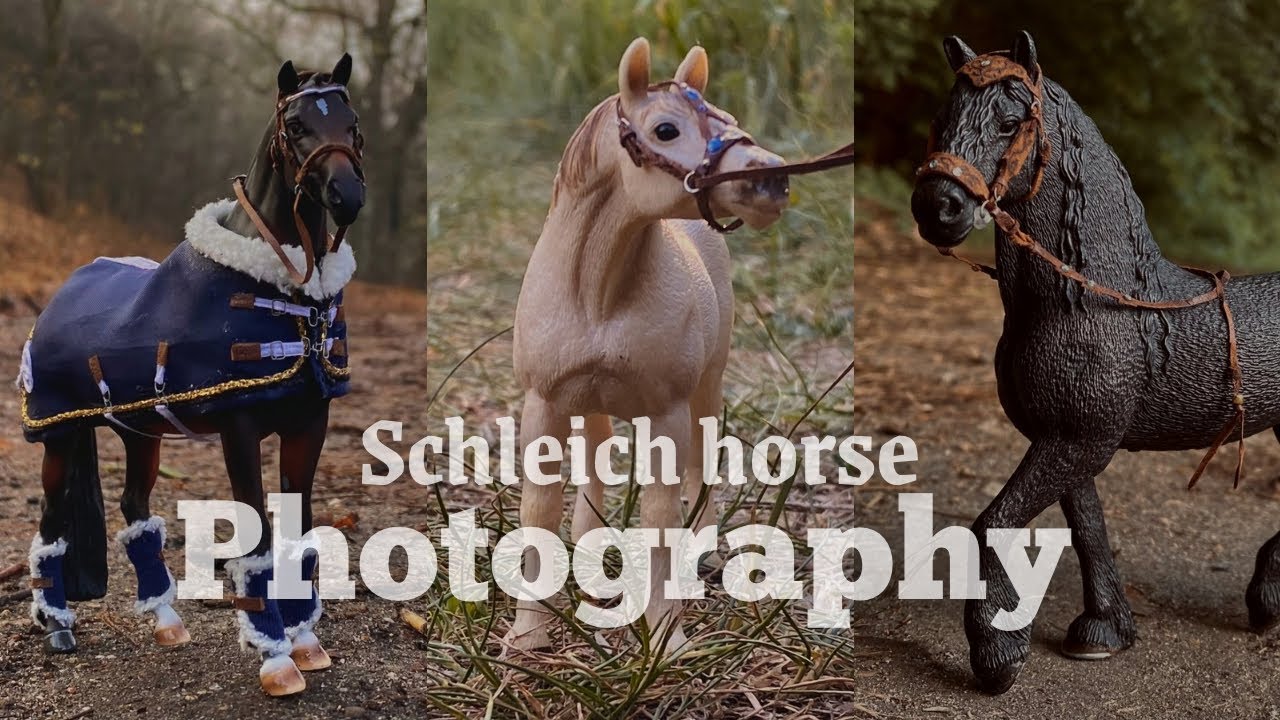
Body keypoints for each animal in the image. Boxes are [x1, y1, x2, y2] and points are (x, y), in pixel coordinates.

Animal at [18, 54, 366, 697]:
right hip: (59, 434)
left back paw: (165, 619)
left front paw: (306, 641)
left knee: (134, 508)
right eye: (297, 126)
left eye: (351, 123)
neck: (286, 293)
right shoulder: (239, 427)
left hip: (140, 433)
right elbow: (257, 538)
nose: (346, 194)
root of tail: (59, 294)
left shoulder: (310, 423)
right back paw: (56, 623)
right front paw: (275, 657)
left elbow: (297, 531)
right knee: (52, 522)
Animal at [507, 38, 790, 652]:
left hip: (707, 390)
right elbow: (540, 509)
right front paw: (527, 635)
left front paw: (666, 638)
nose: (772, 179)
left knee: (701, 470)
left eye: (730, 119)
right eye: (665, 129)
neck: (599, 293)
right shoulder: (544, 405)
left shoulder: (667, 413)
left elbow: (662, 517)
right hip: (588, 403)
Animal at [910, 31, 1280, 694]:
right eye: (941, 118)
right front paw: (1104, 630)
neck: (1090, 301)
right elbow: (1088, 530)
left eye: (1010, 122)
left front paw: (998, 651)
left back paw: (1265, 600)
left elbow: (993, 522)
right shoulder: (1066, 438)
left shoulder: (1081, 439)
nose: (937, 207)